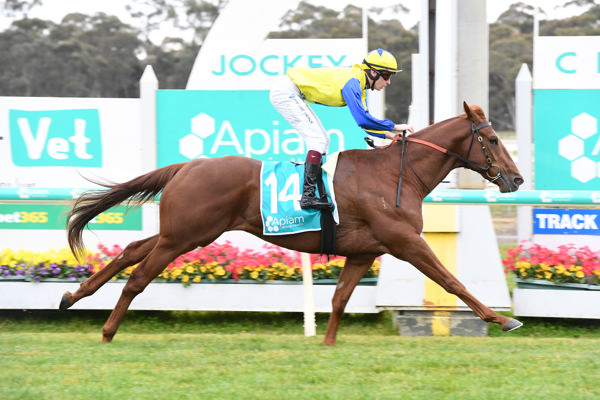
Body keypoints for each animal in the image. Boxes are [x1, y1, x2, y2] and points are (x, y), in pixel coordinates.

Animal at [58, 103, 524, 344]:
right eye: (493, 139)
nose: (517, 179)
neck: (396, 173)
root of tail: (187, 166)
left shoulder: (364, 250)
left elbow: (339, 298)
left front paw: (329, 343)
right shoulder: (405, 241)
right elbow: (452, 281)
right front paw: (502, 320)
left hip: (182, 230)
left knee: (132, 250)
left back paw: (72, 296)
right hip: (185, 236)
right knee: (139, 277)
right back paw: (107, 330)